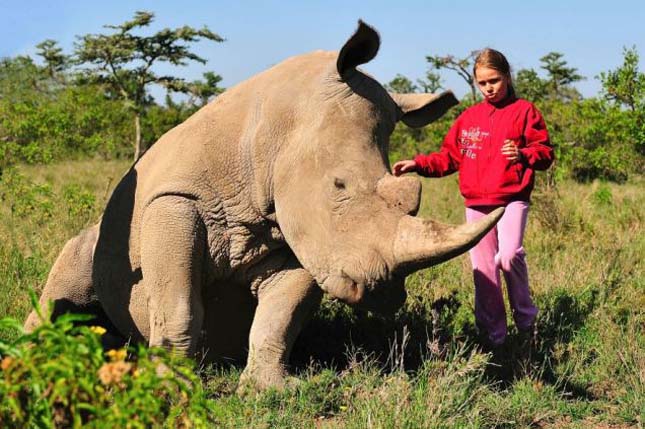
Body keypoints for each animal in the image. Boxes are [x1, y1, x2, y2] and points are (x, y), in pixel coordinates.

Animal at [27, 23, 504, 392]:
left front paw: (267, 389)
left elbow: (280, 316)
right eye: (339, 185)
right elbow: (177, 302)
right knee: (70, 276)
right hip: (101, 233)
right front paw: (172, 386)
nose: (380, 293)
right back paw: (32, 351)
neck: (279, 125)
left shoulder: (301, 234)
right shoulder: (174, 201)